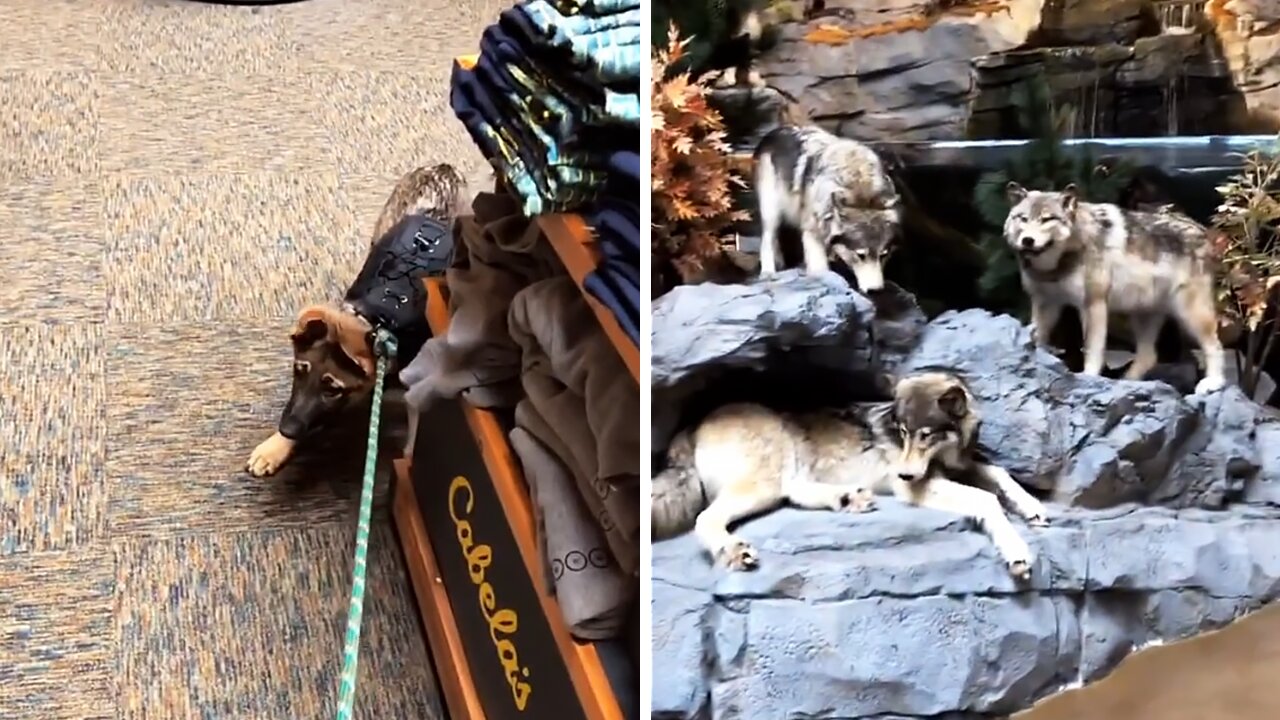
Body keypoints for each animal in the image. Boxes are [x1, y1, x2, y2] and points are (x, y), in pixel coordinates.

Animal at [244, 163, 465, 476]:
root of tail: (444, 168)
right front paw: (275, 447)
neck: (376, 323)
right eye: (299, 371)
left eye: (333, 390)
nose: (285, 430)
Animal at [655, 368, 1044, 576]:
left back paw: (848, 498)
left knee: (796, 492)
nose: (904, 475)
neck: (945, 454)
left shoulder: (957, 466)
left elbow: (999, 473)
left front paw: (1033, 507)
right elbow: (987, 499)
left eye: (925, 435)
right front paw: (1017, 551)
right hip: (765, 479)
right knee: (705, 517)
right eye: (902, 432)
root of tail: (691, 423)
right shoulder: (918, 486)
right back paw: (733, 551)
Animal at [747, 122, 901, 288]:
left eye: (883, 255)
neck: (859, 185)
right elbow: (819, 269)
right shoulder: (811, 233)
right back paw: (768, 273)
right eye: (860, 255)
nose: (875, 290)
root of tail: (773, 132)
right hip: (772, 213)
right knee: (767, 240)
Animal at [1003, 179, 1223, 392]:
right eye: (1022, 218)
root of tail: (1202, 229)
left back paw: (1213, 383)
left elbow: (1092, 349)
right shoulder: (1045, 303)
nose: (1028, 240)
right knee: (1149, 355)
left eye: (1047, 219)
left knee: (1214, 344)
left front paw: (1089, 378)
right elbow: (1038, 338)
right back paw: (1127, 383)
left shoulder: (1093, 304)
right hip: (1142, 314)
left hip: (1189, 313)